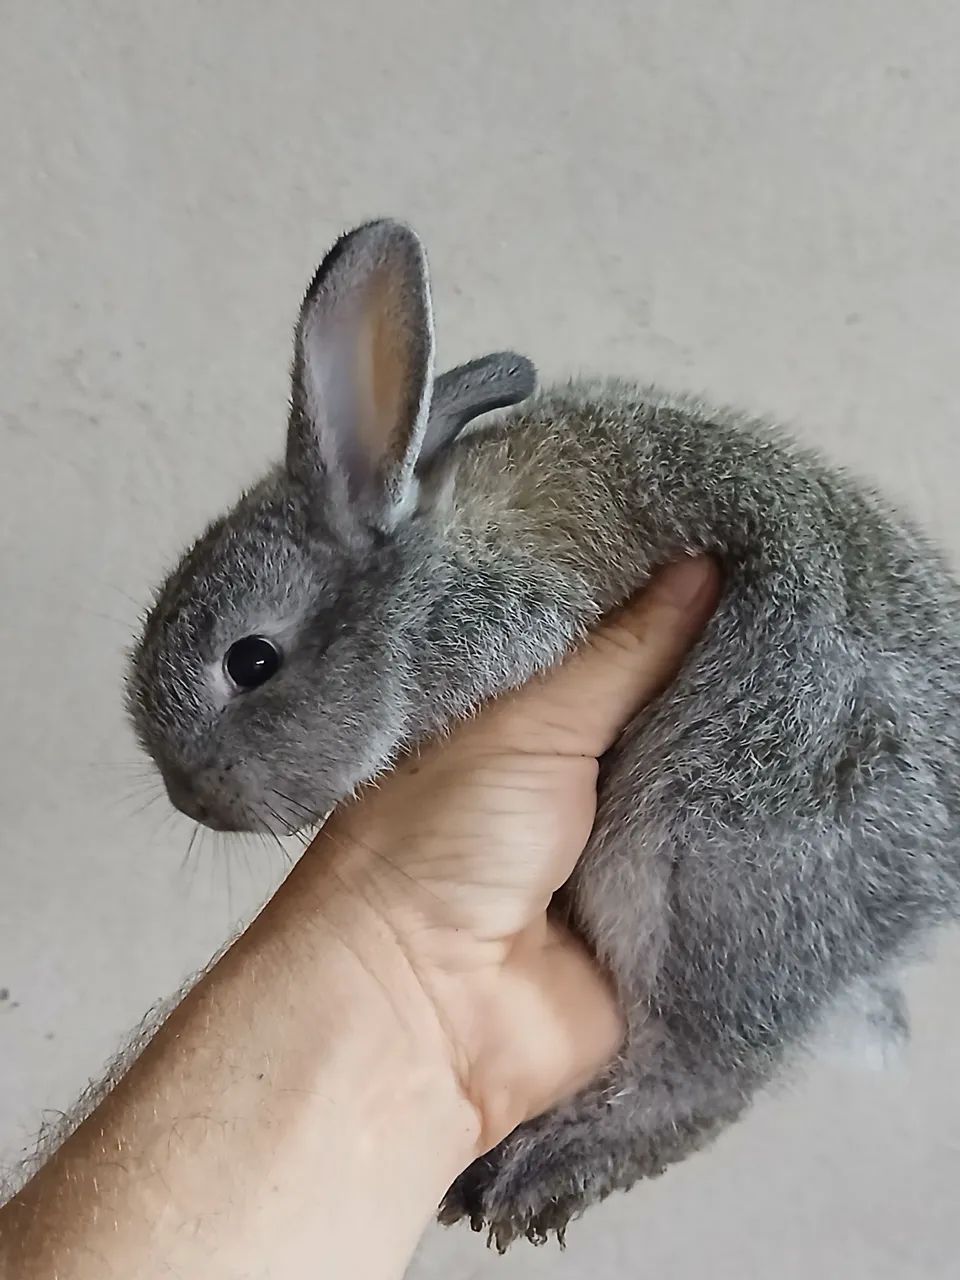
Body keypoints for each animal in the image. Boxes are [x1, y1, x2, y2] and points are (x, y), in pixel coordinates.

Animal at [126, 219, 960, 1250]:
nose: (188, 794)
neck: (423, 582)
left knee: (704, 1075)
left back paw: (536, 1172)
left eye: (250, 661)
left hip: (699, 863)